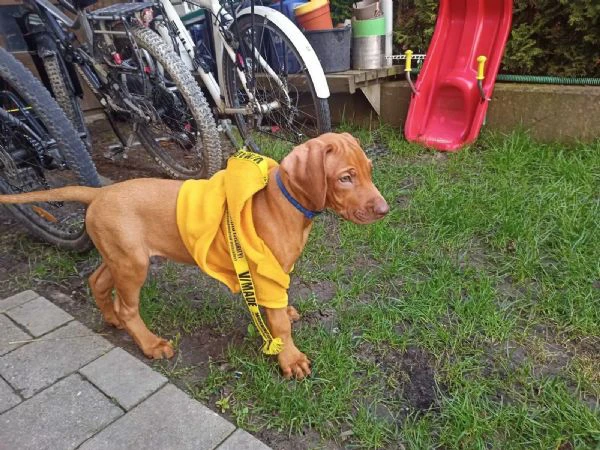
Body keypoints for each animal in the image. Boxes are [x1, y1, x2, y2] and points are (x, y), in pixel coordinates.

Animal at [0, 132, 390, 378]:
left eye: (369, 171)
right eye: (345, 178)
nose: (385, 210)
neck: (284, 201)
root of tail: (98, 194)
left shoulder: (272, 274)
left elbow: (276, 307)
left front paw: (284, 315)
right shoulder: (263, 271)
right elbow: (277, 323)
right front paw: (290, 359)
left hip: (121, 255)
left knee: (97, 282)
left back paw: (110, 318)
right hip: (132, 263)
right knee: (128, 307)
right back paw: (150, 344)